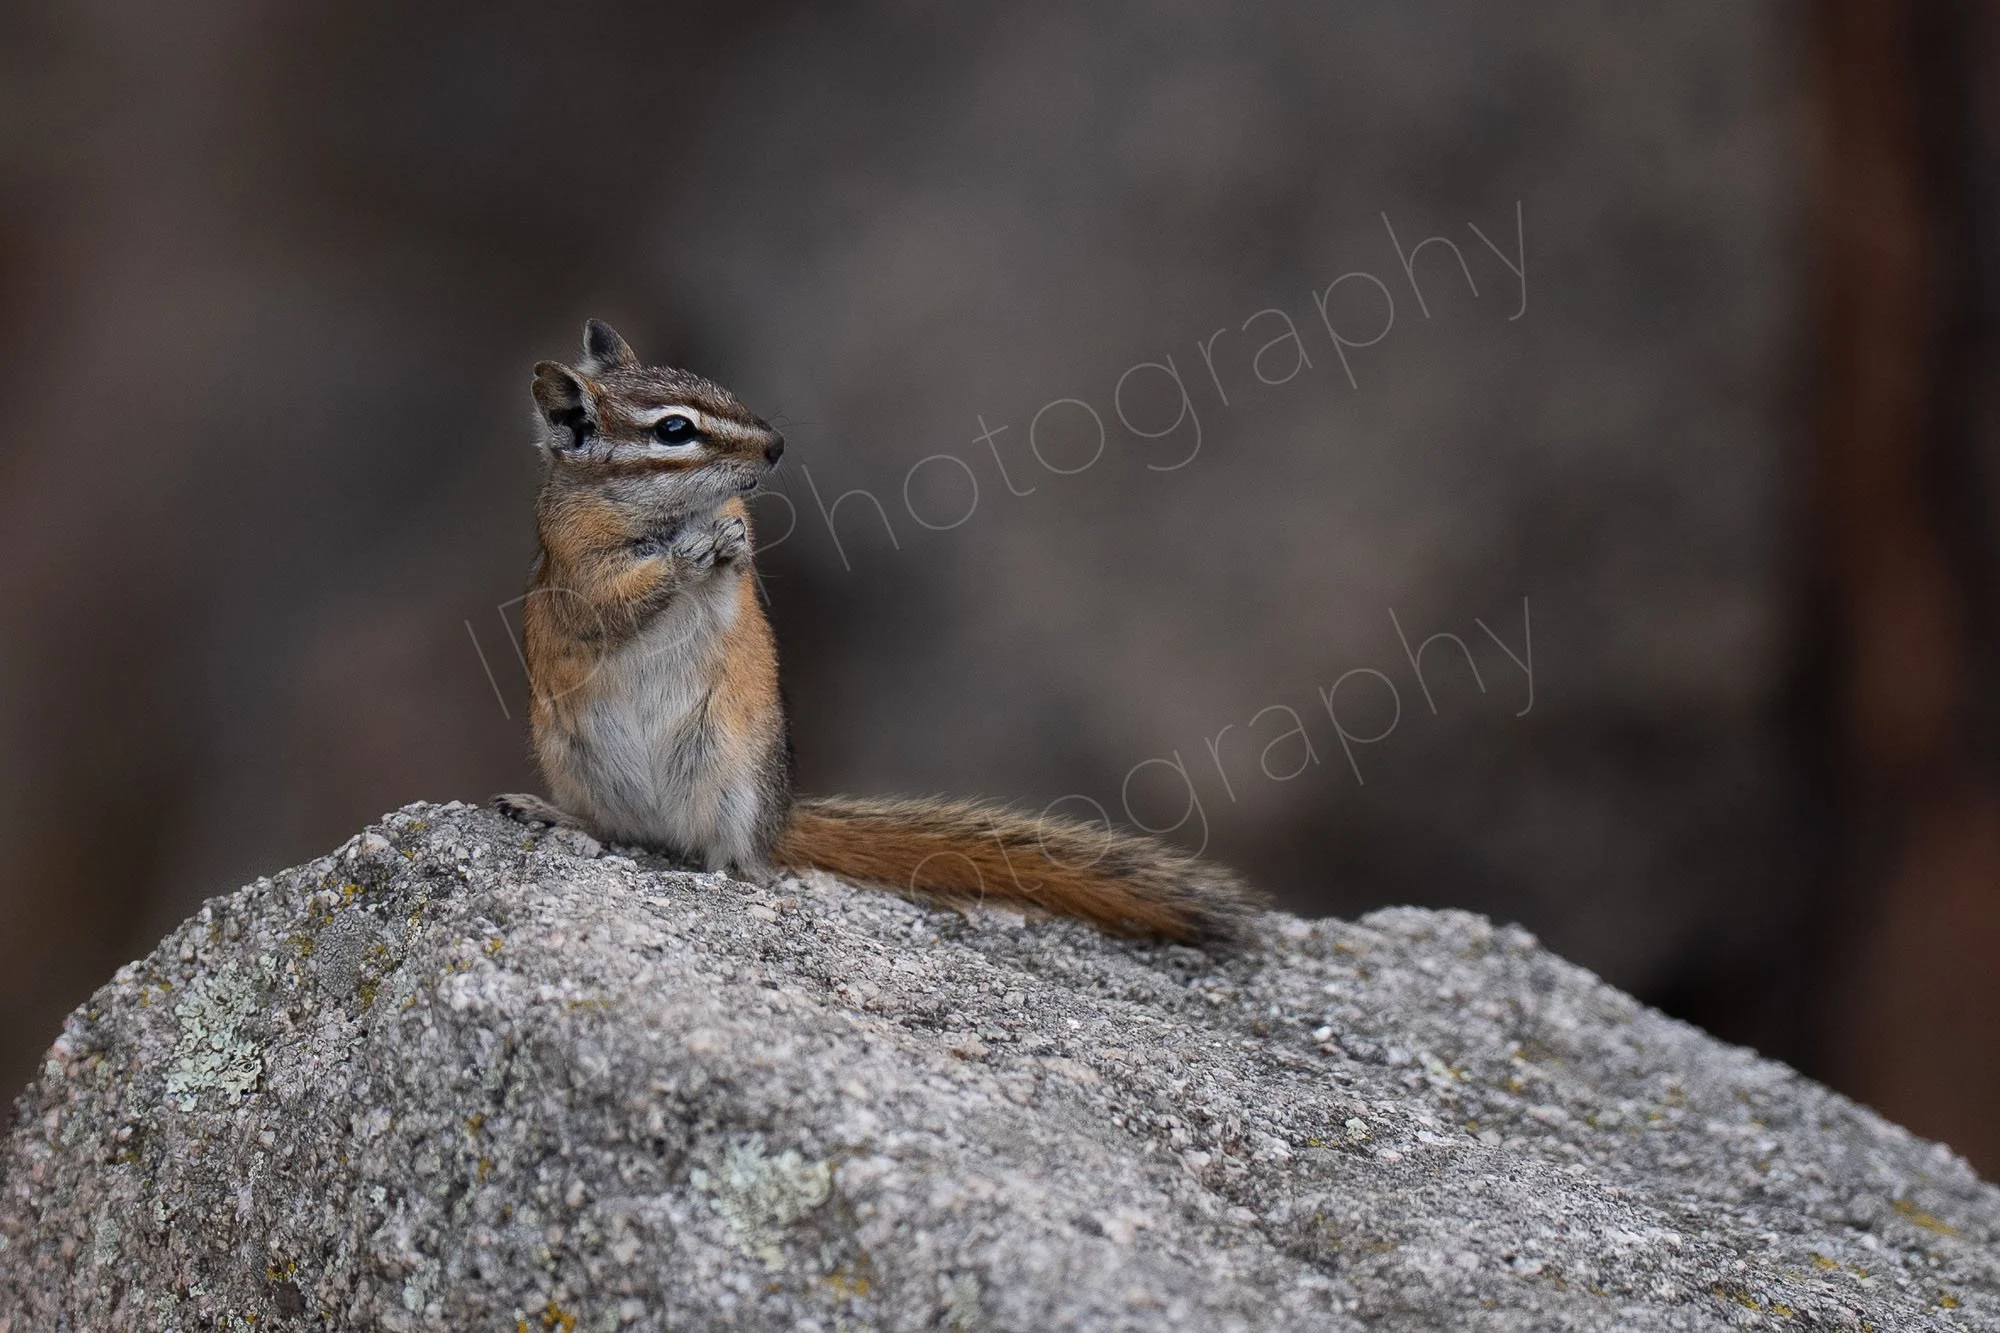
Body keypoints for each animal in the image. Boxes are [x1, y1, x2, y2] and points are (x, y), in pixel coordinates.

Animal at [493, 320, 1260, 943]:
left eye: (718, 387)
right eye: (675, 430)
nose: (777, 445)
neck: (655, 517)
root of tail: (780, 817)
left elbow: (737, 560)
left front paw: (732, 541)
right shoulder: (576, 567)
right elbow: (613, 603)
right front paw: (691, 553)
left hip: (735, 774)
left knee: (731, 852)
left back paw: (743, 873)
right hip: (576, 759)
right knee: (613, 827)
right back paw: (557, 817)